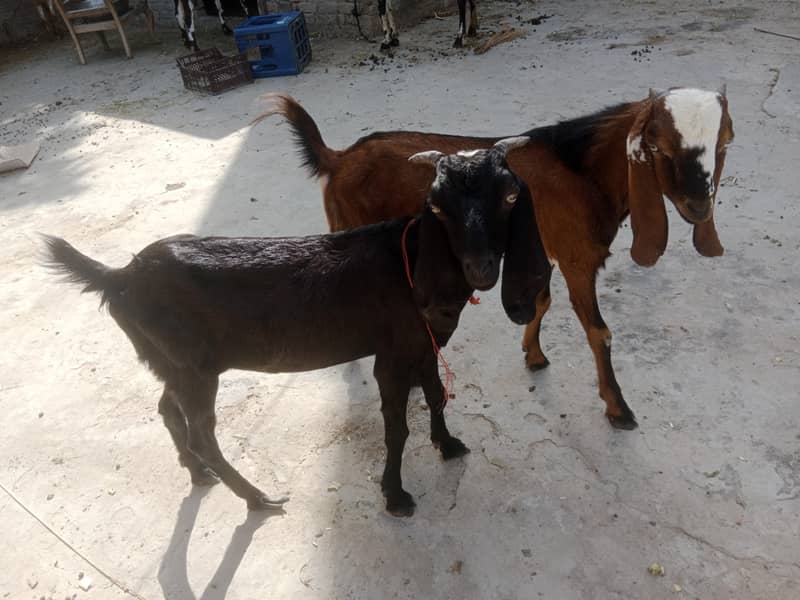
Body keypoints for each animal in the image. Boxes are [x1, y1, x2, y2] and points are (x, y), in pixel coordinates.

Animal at [43, 140, 550, 517]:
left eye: (509, 197)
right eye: (438, 209)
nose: (481, 267)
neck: (412, 263)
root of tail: (120, 275)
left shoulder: (424, 344)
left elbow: (436, 394)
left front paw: (447, 444)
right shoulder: (391, 354)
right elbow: (396, 427)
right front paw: (395, 495)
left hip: (170, 361)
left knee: (168, 409)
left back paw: (197, 472)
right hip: (192, 367)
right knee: (203, 433)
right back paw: (255, 497)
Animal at [265, 87, 734, 430]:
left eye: (724, 142)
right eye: (659, 146)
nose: (698, 207)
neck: (583, 171)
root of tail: (338, 159)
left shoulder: (545, 249)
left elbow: (542, 301)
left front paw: (534, 354)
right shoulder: (577, 258)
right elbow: (598, 332)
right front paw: (618, 409)